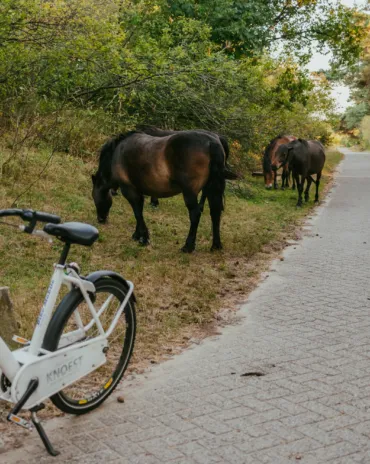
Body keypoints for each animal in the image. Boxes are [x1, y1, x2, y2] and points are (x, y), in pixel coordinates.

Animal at [92, 130, 225, 254]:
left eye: (94, 197)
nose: (101, 219)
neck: (118, 152)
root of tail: (211, 143)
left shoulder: (129, 189)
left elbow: (137, 213)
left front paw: (143, 238)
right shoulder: (138, 190)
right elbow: (138, 211)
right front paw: (137, 235)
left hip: (189, 193)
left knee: (195, 214)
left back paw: (188, 246)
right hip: (212, 189)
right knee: (215, 213)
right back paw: (216, 245)